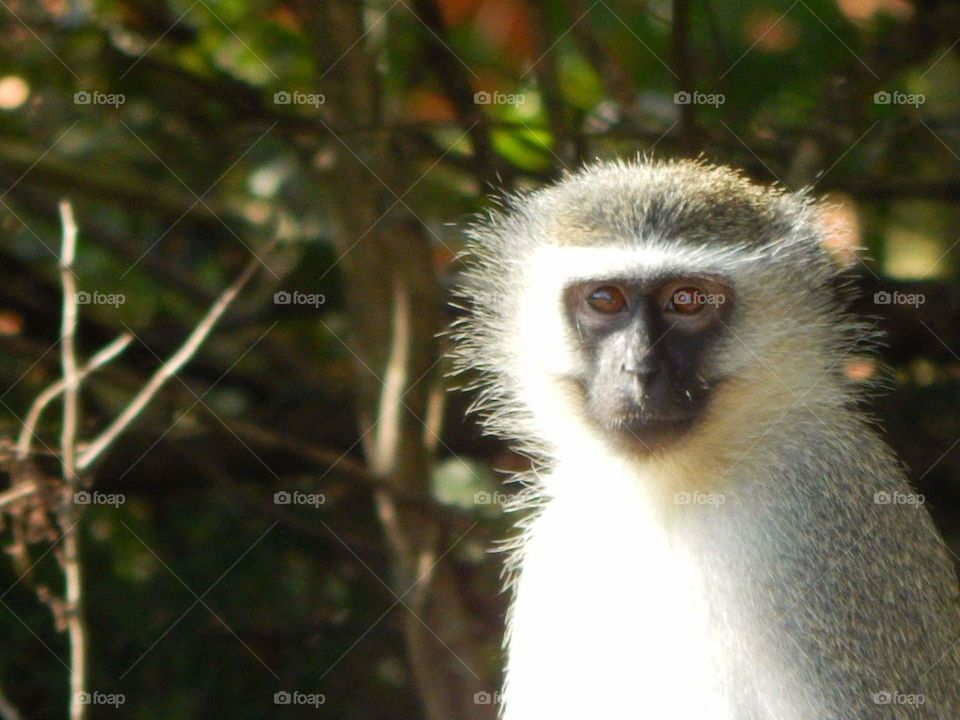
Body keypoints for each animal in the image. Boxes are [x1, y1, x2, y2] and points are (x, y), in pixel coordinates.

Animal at [450, 159, 960, 719]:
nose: (639, 371)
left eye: (688, 301)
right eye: (605, 300)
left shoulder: (819, 518)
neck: (671, 490)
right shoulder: (556, 539)